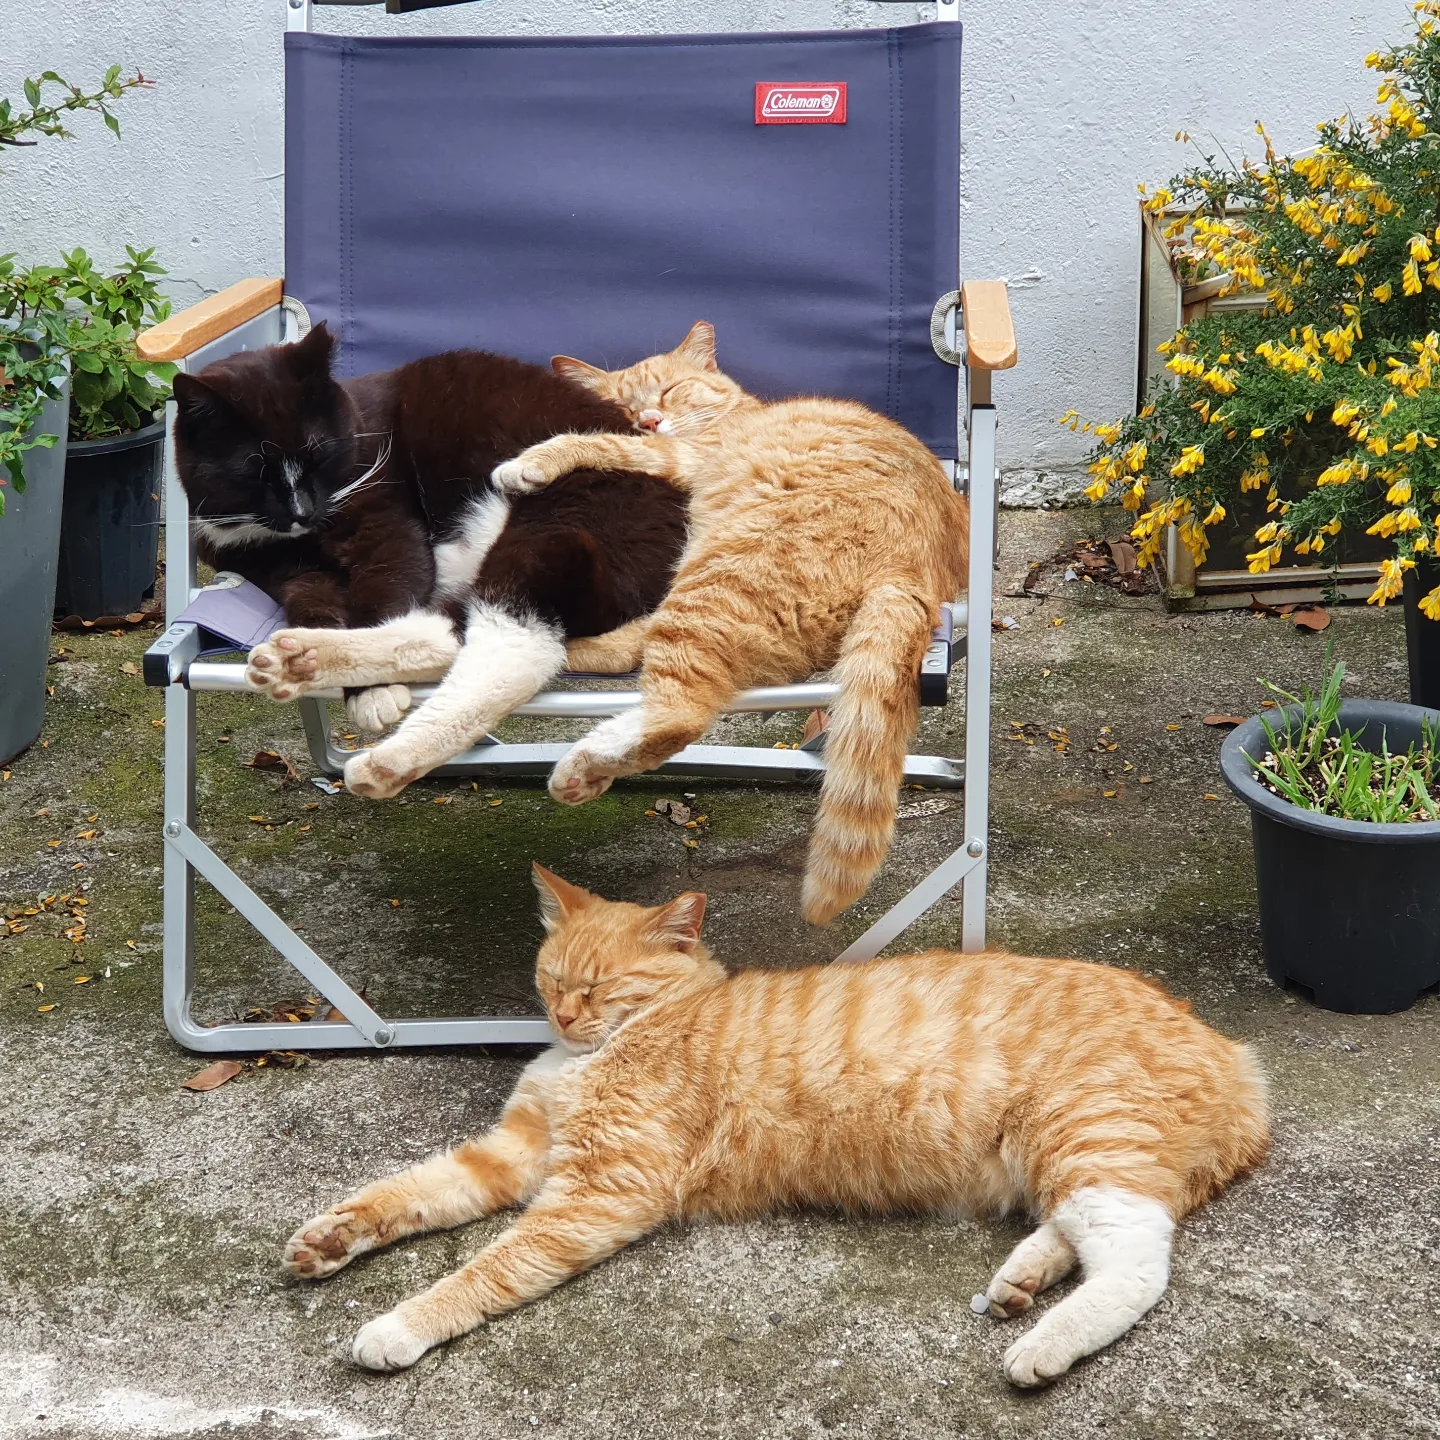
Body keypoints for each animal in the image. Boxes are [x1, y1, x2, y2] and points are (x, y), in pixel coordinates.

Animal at [172, 323, 687, 758]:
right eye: (254, 472)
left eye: (318, 454)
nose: (302, 511)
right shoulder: (270, 564)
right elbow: (309, 599)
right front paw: (323, 644)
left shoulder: (385, 521)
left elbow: (385, 587)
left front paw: (371, 695)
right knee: (458, 634)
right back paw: (301, 659)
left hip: (563, 510)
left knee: (497, 642)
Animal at [283, 865, 1270, 1386]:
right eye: (552, 977)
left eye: (600, 988)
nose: (562, 1016)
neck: (614, 1043)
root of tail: (1234, 1052)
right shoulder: (513, 1155)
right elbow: (410, 1191)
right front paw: (331, 1239)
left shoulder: (597, 1192)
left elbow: (485, 1270)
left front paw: (399, 1326)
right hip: (1060, 1159)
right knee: (1079, 1232)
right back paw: (1022, 1283)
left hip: (1089, 1133)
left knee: (1139, 1262)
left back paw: (1044, 1343)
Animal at [489, 321, 970, 924]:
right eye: (624, 404)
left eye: (669, 391)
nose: (649, 419)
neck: (738, 413)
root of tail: (915, 572)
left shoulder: (680, 453)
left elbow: (596, 443)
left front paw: (525, 464)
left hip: (712, 579)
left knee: (678, 711)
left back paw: (579, 754)